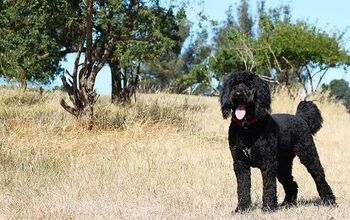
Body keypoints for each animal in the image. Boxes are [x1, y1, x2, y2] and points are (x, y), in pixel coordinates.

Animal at [220, 70, 334, 211]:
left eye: (250, 85)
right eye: (234, 85)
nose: (238, 94)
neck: (247, 128)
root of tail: (300, 118)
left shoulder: (268, 163)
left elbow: (269, 186)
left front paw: (268, 207)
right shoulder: (240, 163)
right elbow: (242, 187)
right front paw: (242, 208)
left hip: (309, 156)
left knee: (320, 177)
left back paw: (330, 201)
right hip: (282, 165)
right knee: (292, 183)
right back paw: (287, 203)